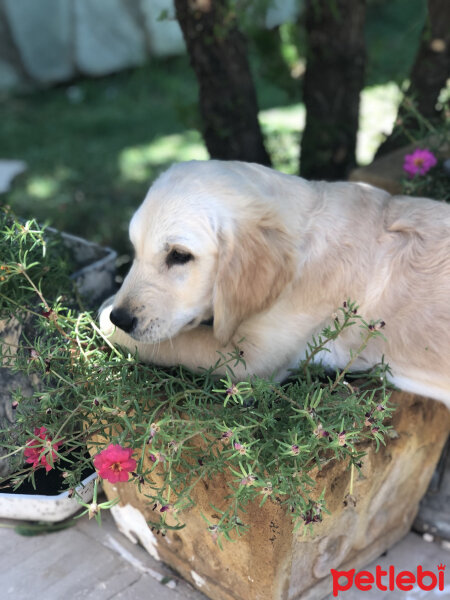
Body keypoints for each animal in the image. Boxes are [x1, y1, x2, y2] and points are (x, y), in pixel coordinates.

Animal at [99, 159, 450, 408]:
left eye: (179, 255)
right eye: (135, 249)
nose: (122, 316)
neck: (305, 238)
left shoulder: (252, 360)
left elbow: (167, 344)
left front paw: (105, 317)